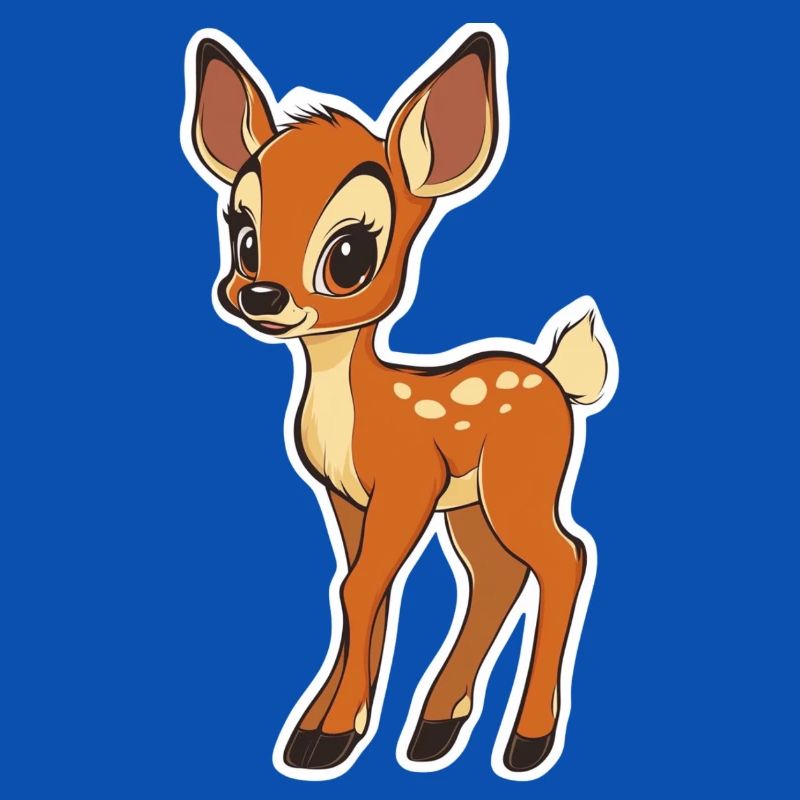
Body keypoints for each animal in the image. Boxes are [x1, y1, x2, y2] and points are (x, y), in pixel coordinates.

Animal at [181, 25, 616, 780]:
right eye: (243, 235)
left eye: (351, 254)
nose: (259, 295)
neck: (356, 408)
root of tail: (555, 379)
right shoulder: (347, 496)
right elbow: (359, 590)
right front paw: (321, 732)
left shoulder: (407, 483)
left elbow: (361, 588)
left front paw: (329, 738)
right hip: (473, 504)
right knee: (496, 575)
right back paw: (436, 728)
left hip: (521, 483)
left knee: (564, 559)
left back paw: (526, 742)